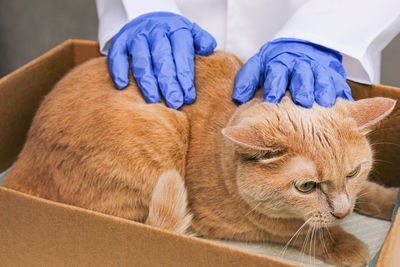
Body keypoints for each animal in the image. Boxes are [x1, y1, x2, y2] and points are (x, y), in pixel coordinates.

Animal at [2, 51, 396, 266]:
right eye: (306, 186)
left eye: (354, 172)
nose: (343, 212)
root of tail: (19, 166)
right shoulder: (242, 224)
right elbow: (300, 231)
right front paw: (345, 243)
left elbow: (368, 193)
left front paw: (390, 201)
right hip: (161, 129)